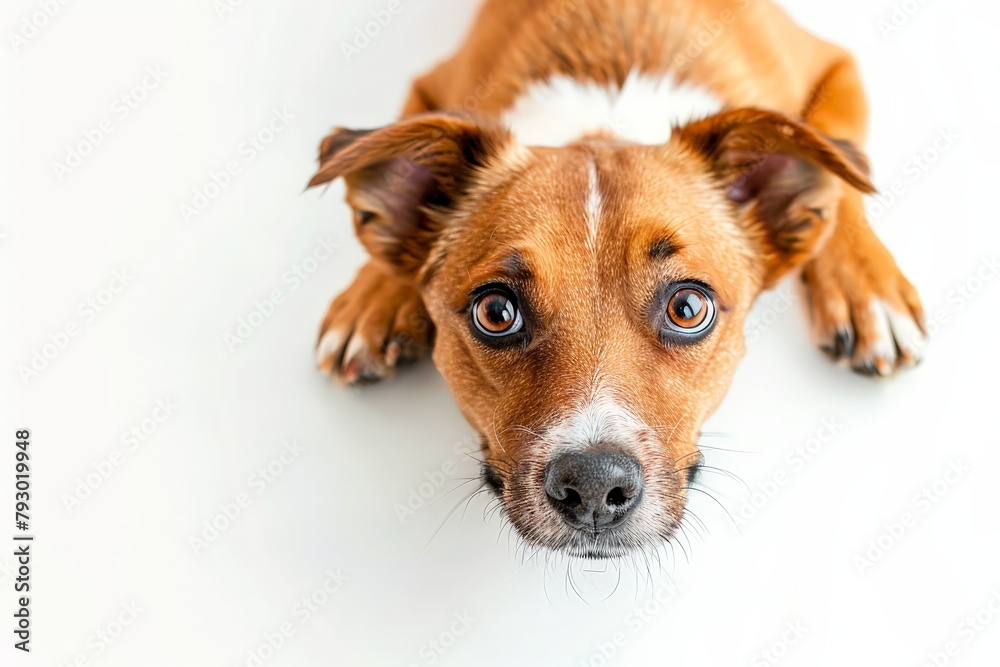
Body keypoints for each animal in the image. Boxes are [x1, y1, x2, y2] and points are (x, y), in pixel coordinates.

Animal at [308, 0, 924, 560]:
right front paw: (376, 296)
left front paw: (865, 284)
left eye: (688, 308)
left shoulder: (834, 65)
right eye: (495, 313)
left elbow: (844, 178)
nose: (595, 486)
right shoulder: (430, 85)